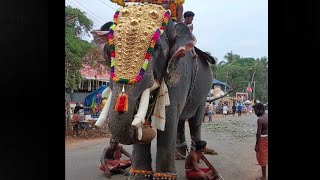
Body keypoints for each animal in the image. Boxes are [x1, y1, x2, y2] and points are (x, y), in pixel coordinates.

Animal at [92, 3, 215, 179]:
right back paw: (179, 155)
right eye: (110, 50)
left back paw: (198, 156)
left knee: (194, 121)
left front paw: (164, 176)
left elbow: (168, 117)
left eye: (156, 48)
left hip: (204, 92)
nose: (144, 129)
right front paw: (138, 176)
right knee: (180, 120)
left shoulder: (179, 71)